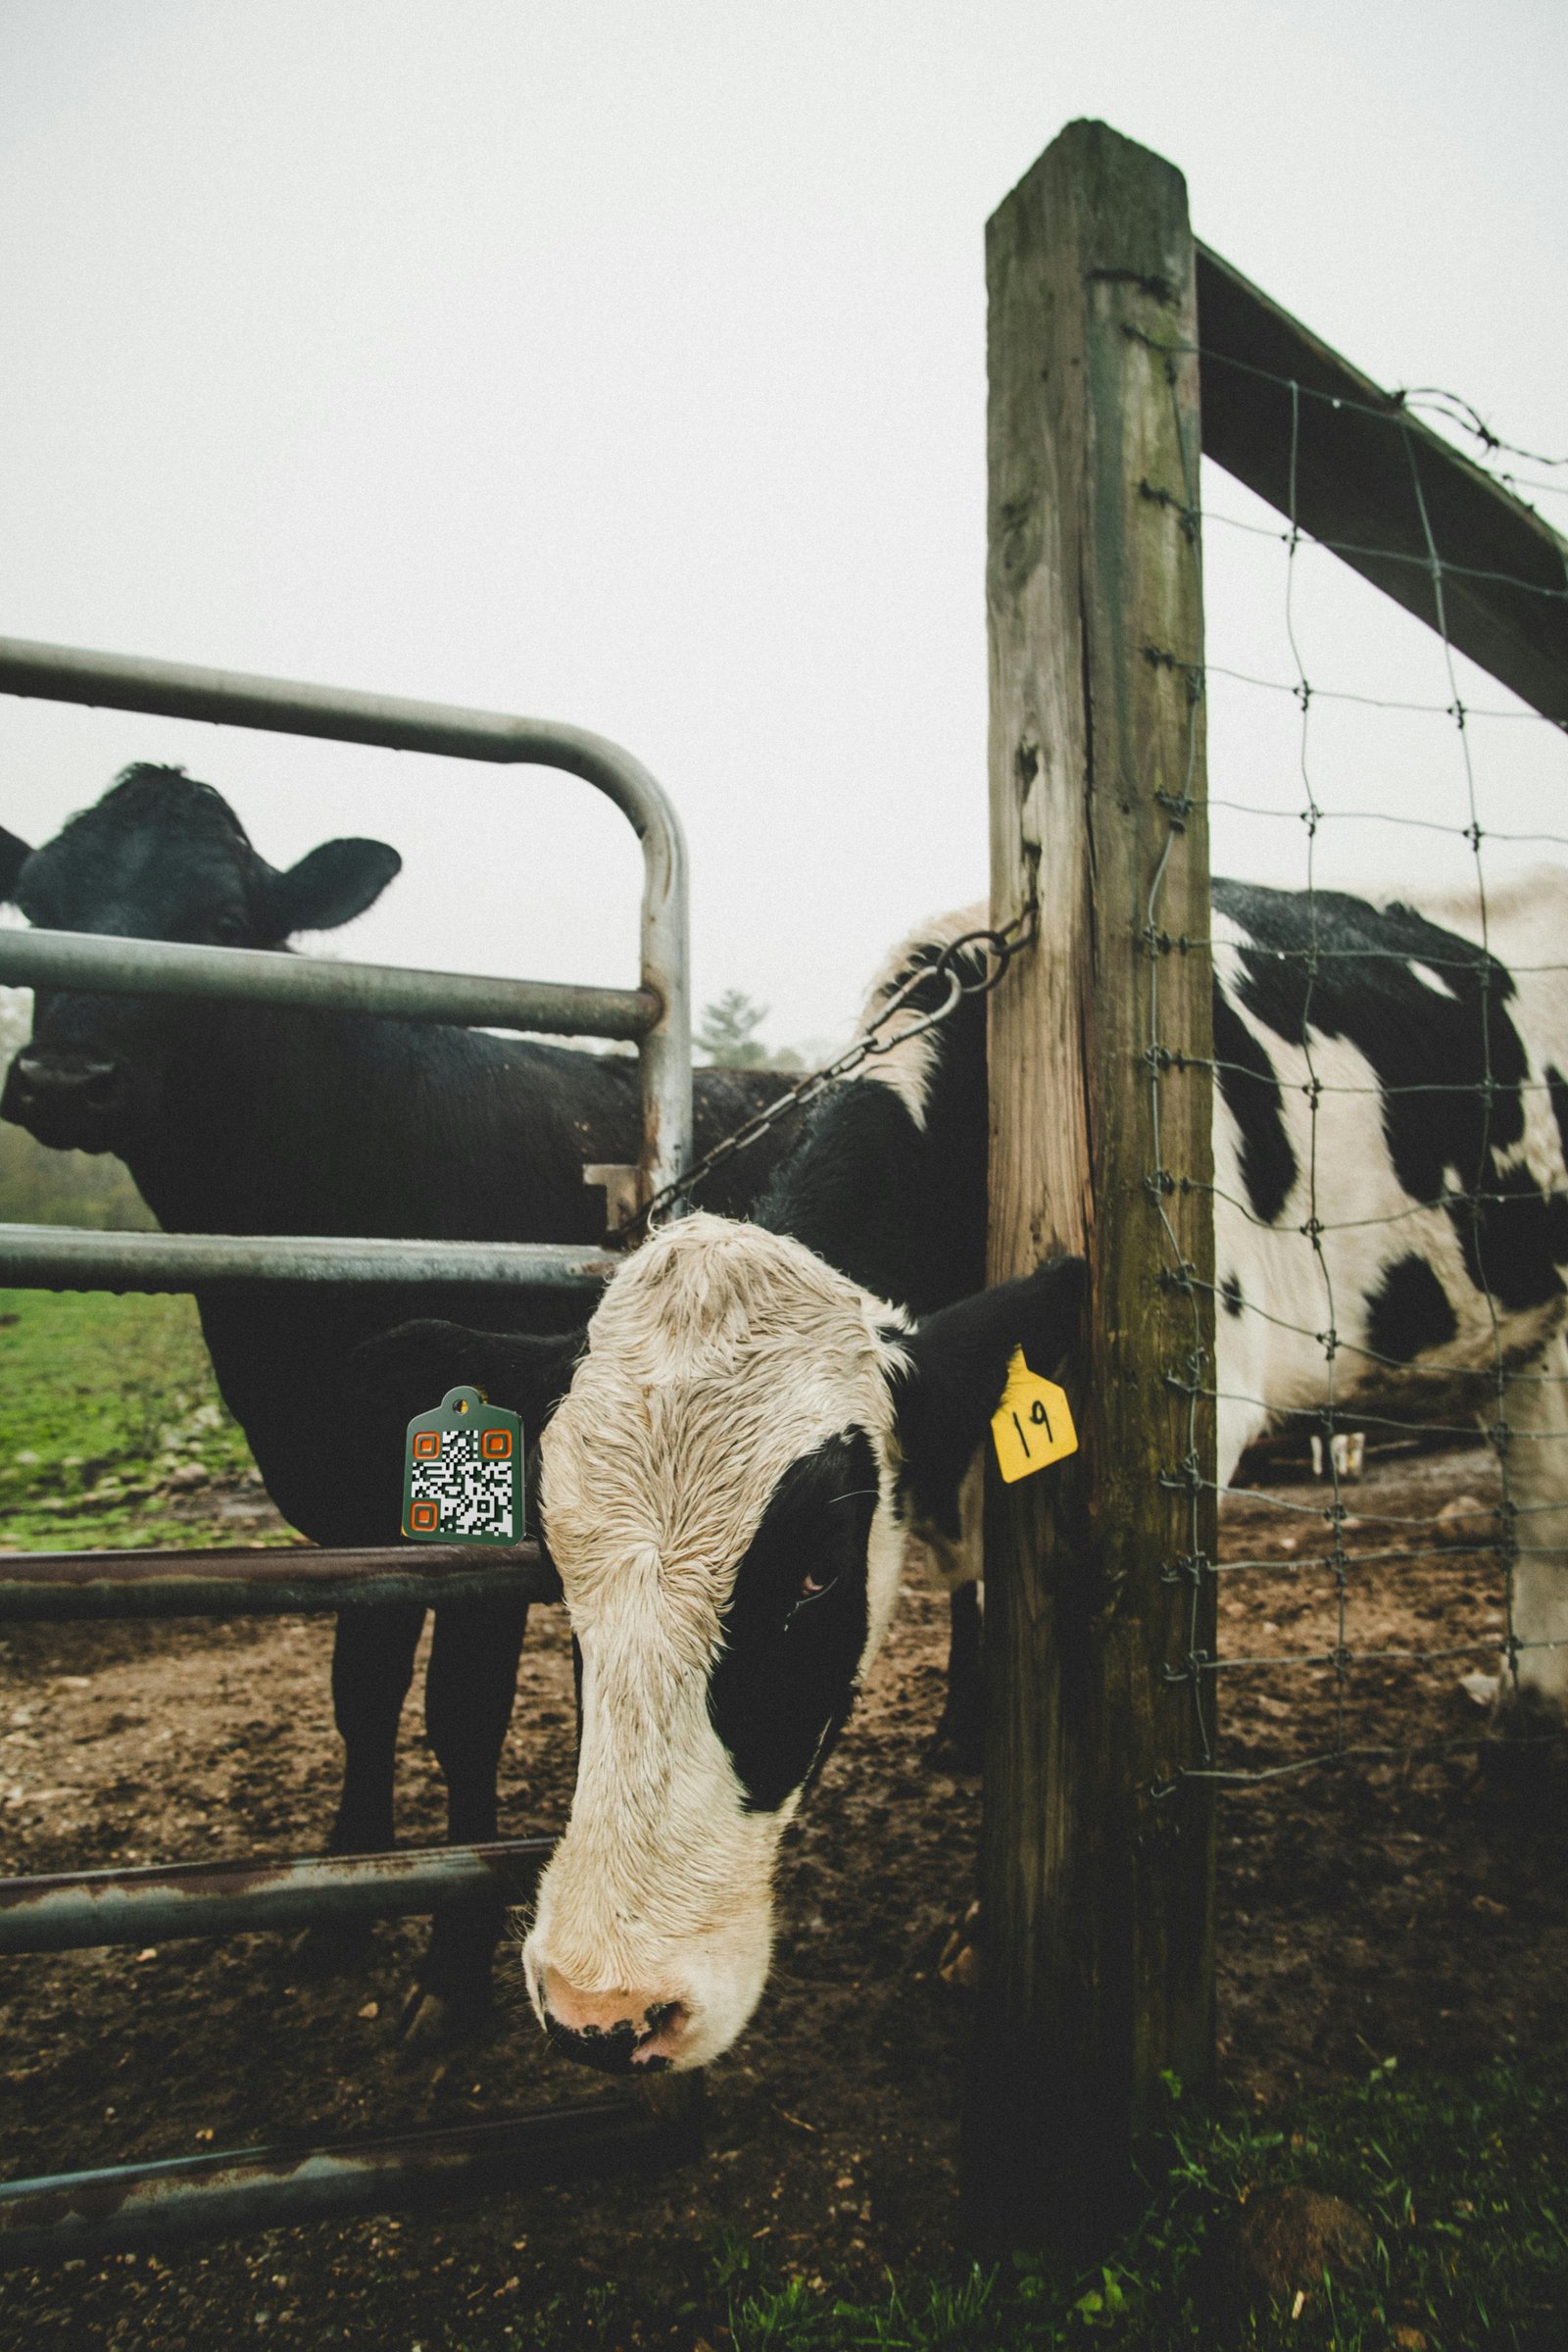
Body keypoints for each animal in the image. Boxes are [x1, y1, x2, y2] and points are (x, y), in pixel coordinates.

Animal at [0, 762, 806, 2043]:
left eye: (224, 922)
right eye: (37, 909)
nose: (65, 1081)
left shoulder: (495, 1519)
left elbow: (460, 1714)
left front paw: (453, 1961)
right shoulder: (340, 1503)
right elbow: (363, 1696)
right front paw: (340, 1910)